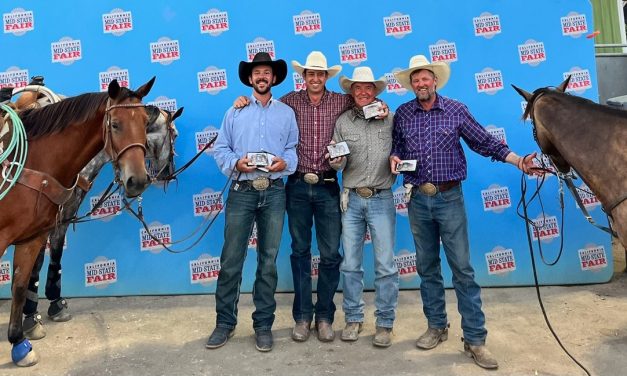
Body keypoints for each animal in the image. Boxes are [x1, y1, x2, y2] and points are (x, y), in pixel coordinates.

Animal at [0, 77, 156, 368]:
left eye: (144, 122)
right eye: (114, 124)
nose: (138, 180)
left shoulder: (33, 236)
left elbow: (20, 285)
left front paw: (19, 344)